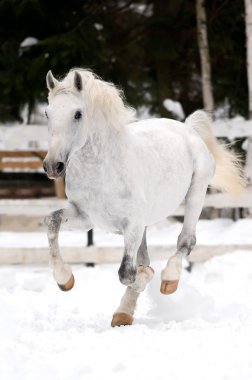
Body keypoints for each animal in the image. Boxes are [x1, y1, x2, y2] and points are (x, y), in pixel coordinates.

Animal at [42, 68, 244, 326]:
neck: (103, 169)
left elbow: (127, 273)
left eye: (78, 114)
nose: (52, 166)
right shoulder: (86, 217)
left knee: (185, 241)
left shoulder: (133, 224)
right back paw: (123, 313)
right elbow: (52, 221)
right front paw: (64, 279)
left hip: (196, 193)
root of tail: (187, 128)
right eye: (47, 113)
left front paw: (147, 277)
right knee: (146, 256)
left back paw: (168, 280)